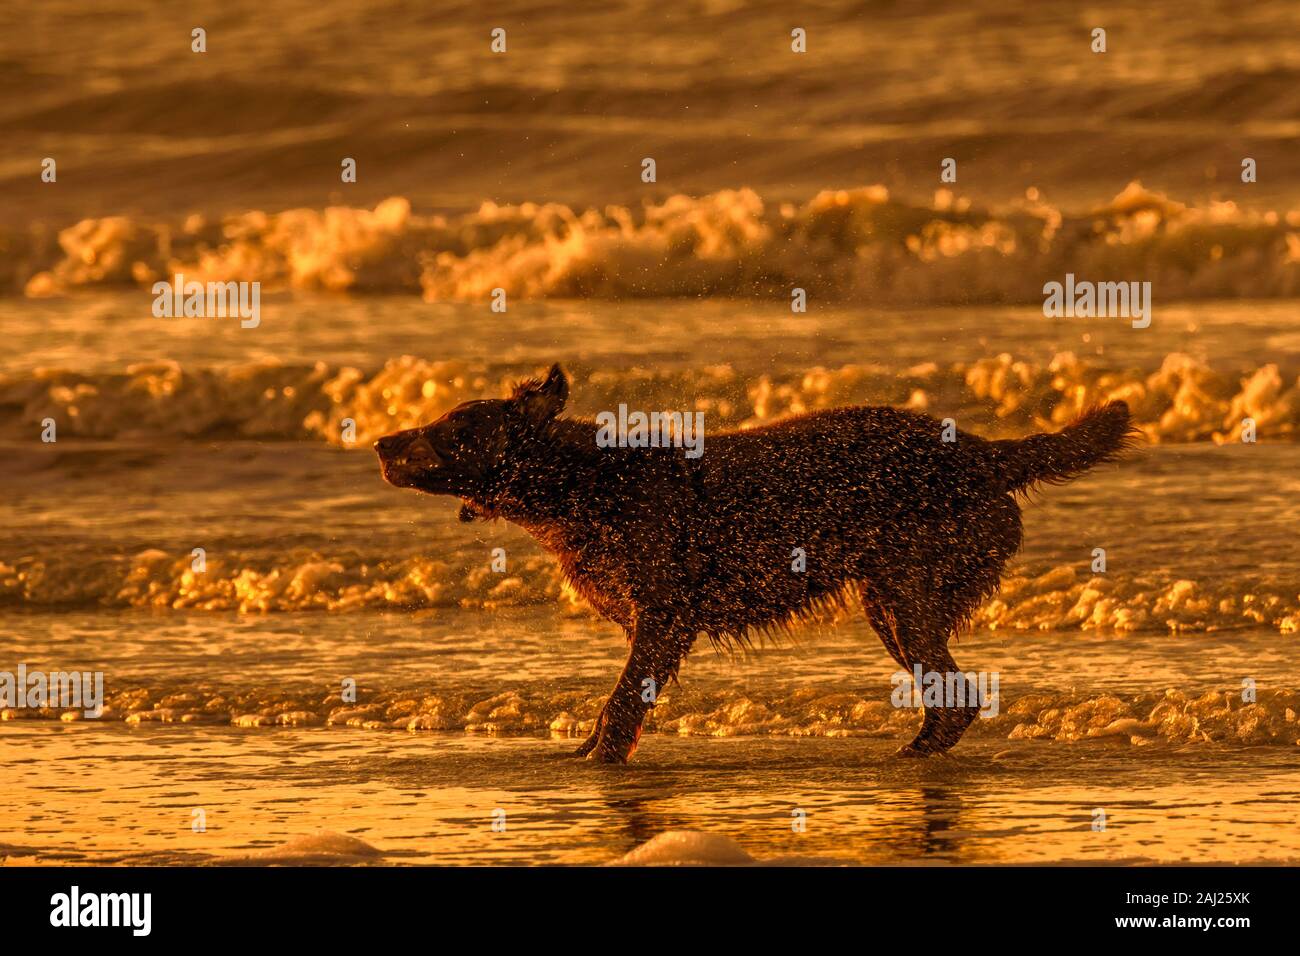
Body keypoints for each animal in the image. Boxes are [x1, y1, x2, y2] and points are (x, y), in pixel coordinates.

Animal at [377, 364, 1138, 764]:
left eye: (451, 427)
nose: (382, 441)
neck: (584, 485)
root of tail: (987, 453)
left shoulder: (662, 622)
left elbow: (621, 703)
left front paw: (599, 755)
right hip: (891, 601)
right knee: (954, 695)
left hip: (908, 592)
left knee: (956, 694)